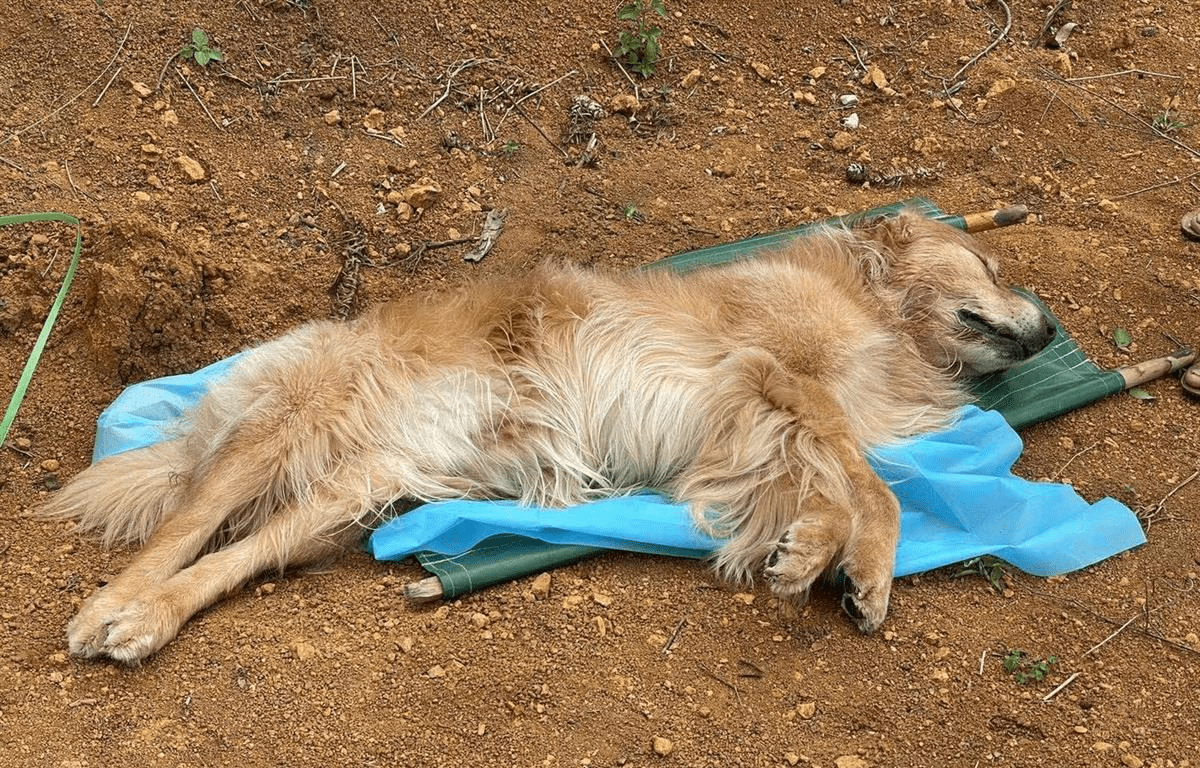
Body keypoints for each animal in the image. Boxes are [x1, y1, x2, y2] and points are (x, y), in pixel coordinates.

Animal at [46, 210, 1051, 662]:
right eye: (990, 261)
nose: (1045, 329)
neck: (881, 311)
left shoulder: (741, 436)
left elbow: (824, 491)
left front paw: (808, 552)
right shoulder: (776, 376)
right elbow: (873, 486)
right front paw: (865, 569)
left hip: (354, 489)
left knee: (234, 555)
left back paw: (149, 618)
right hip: (291, 426)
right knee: (186, 520)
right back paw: (112, 608)